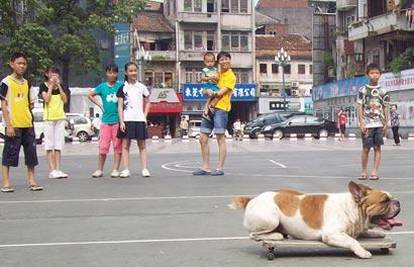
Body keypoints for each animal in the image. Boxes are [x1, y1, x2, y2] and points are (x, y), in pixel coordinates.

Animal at [230, 182, 402, 260]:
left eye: (391, 198)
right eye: (385, 201)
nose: (398, 202)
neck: (352, 207)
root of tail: (252, 199)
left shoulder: (356, 229)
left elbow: (364, 233)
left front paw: (377, 233)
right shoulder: (332, 235)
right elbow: (352, 241)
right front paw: (362, 251)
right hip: (270, 219)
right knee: (254, 235)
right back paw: (276, 236)